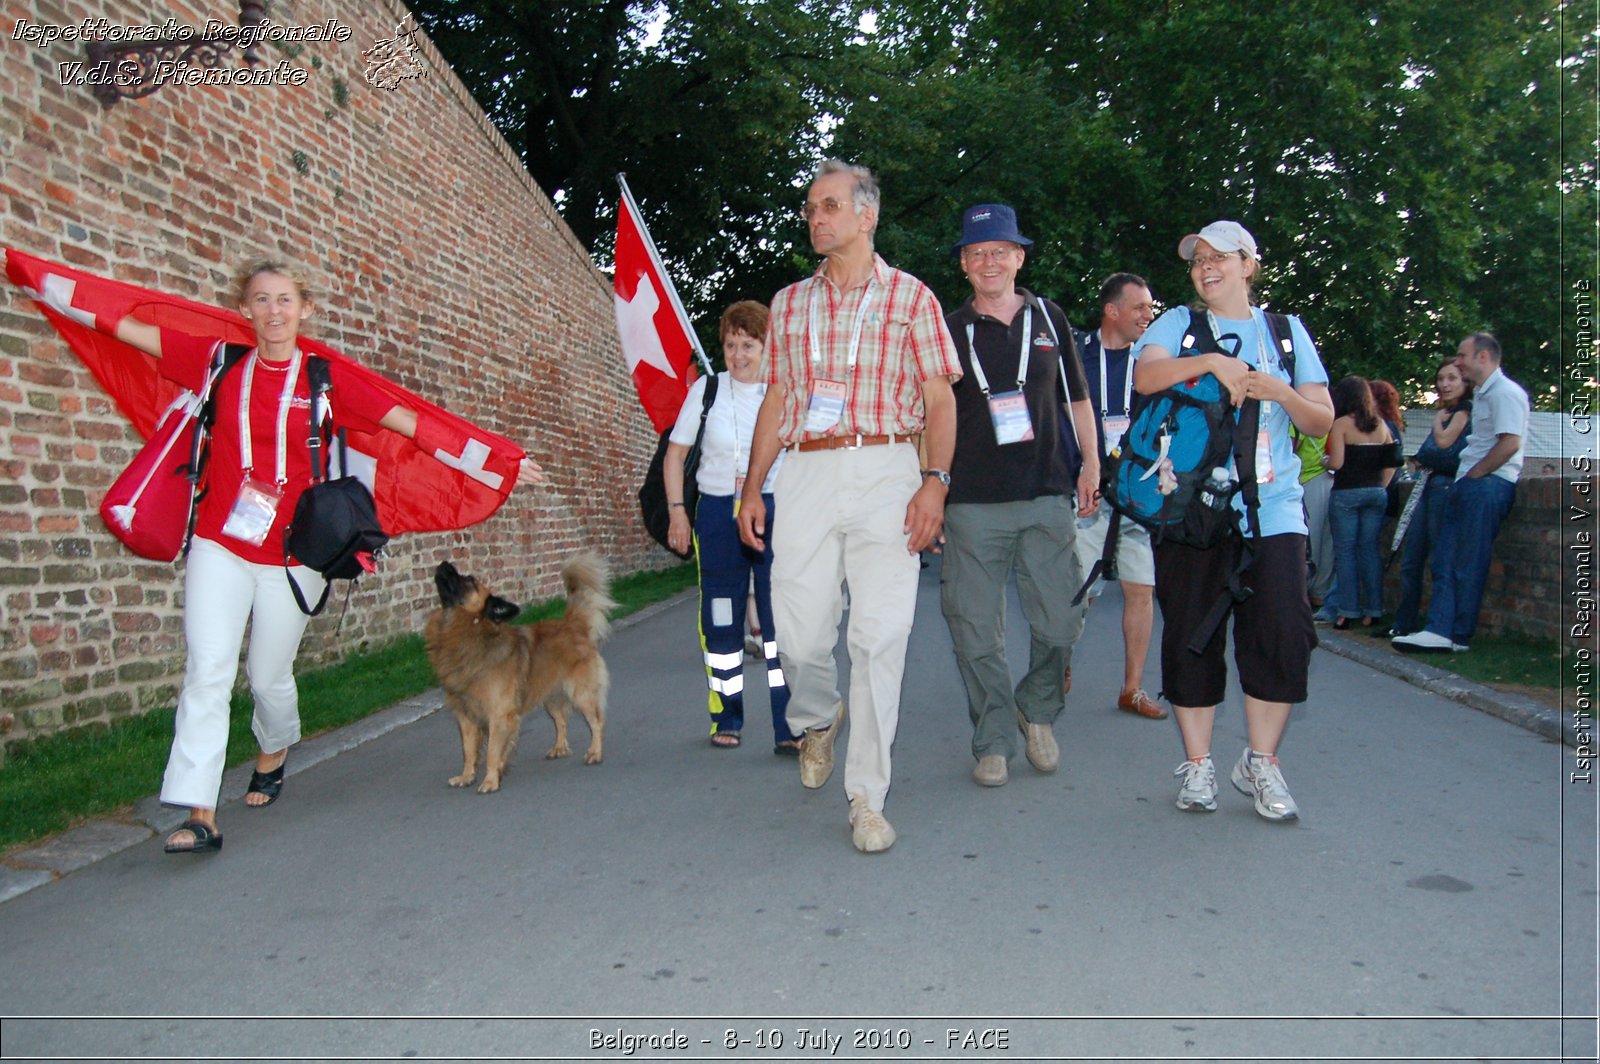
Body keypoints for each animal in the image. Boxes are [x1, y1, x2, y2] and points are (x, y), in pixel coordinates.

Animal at [425, 556, 611, 787]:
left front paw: (491, 780)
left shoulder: (499, 714)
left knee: (596, 722)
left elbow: (492, 751)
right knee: (561, 721)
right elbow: (468, 750)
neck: (472, 631)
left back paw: (595, 752)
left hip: (581, 695)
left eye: (469, 580)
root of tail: (572, 625)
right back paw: (559, 747)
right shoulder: (466, 717)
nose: (444, 563)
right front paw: (467, 776)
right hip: (550, 697)